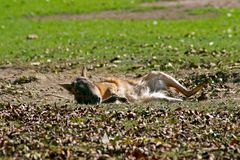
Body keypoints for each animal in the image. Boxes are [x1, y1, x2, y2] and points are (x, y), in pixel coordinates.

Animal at [60, 66, 208, 104]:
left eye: (90, 83)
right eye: (78, 92)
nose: (96, 99)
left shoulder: (111, 85)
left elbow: (114, 90)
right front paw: (119, 98)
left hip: (159, 74)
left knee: (187, 92)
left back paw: (204, 86)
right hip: (154, 95)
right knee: (179, 96)